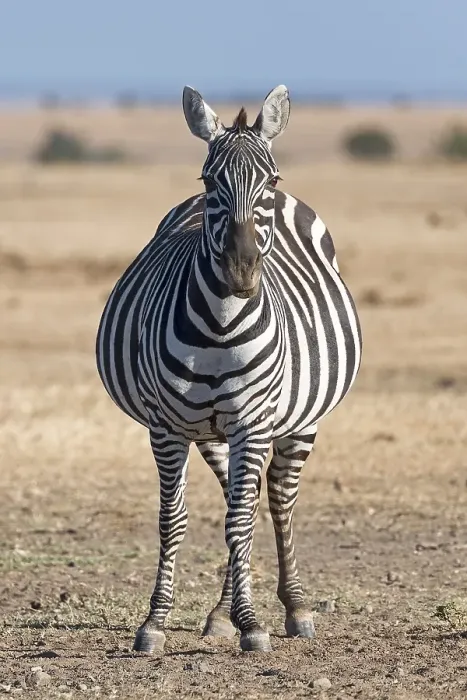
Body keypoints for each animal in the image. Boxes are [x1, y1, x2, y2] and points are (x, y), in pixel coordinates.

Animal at [96, 84, 362, 653]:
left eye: (271, 180)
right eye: (208, 180)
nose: (241, 271)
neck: (220, 326)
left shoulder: (252, 422)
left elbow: (241, 519)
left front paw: (254, 624)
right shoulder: (166, 427)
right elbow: (175, 519)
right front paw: (156, 621)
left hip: (298, 421)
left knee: (276, 498)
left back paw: (294, 608)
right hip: (213, 433)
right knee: (240, 502)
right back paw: (221, 614)